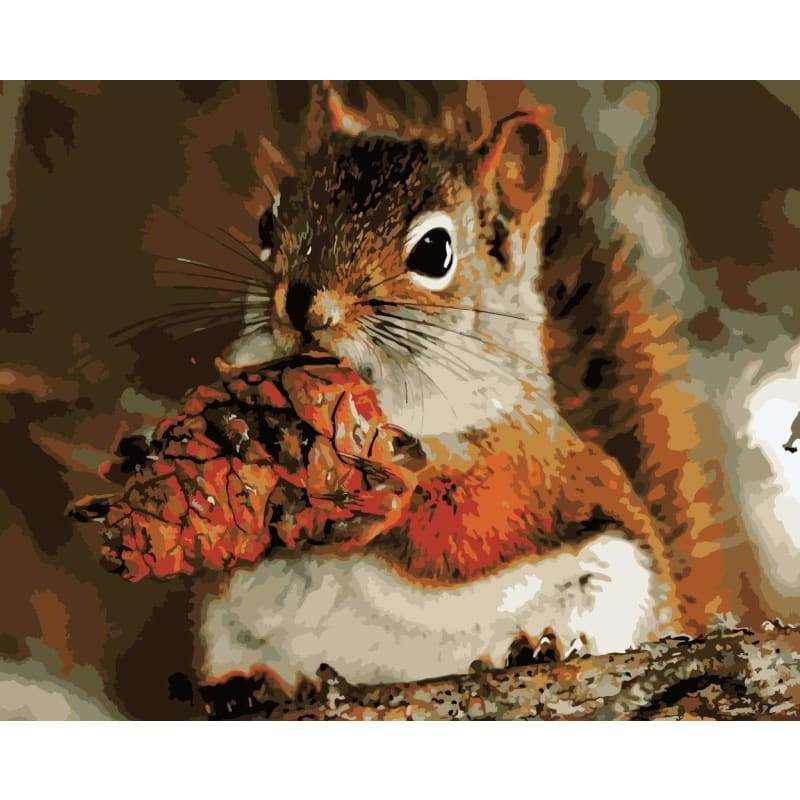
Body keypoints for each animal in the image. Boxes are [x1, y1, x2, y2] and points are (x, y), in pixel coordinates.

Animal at [195, 85, 766, 697]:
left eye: (434, 251)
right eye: (266, 224)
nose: (303, 304)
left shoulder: (522, 466)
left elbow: (461, 527)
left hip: (617, 584)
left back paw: (539, 649)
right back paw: (254, 687)